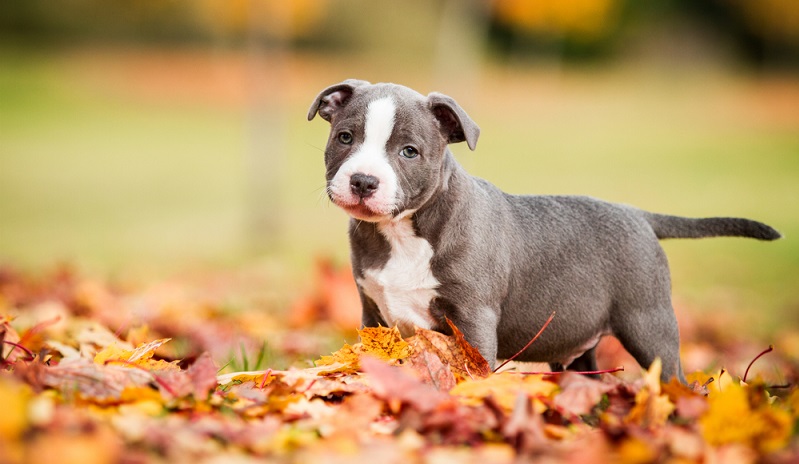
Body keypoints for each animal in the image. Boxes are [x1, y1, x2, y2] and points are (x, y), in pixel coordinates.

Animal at [308, 80, 780, 384]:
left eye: (410, 152)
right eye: (345, 137)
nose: (363, 181)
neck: (404, 232)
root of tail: (638, 215)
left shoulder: (474, 319)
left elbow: (472, 374)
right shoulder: (373, 314)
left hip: (650, 322)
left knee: (673, 376)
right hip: (584, 344)